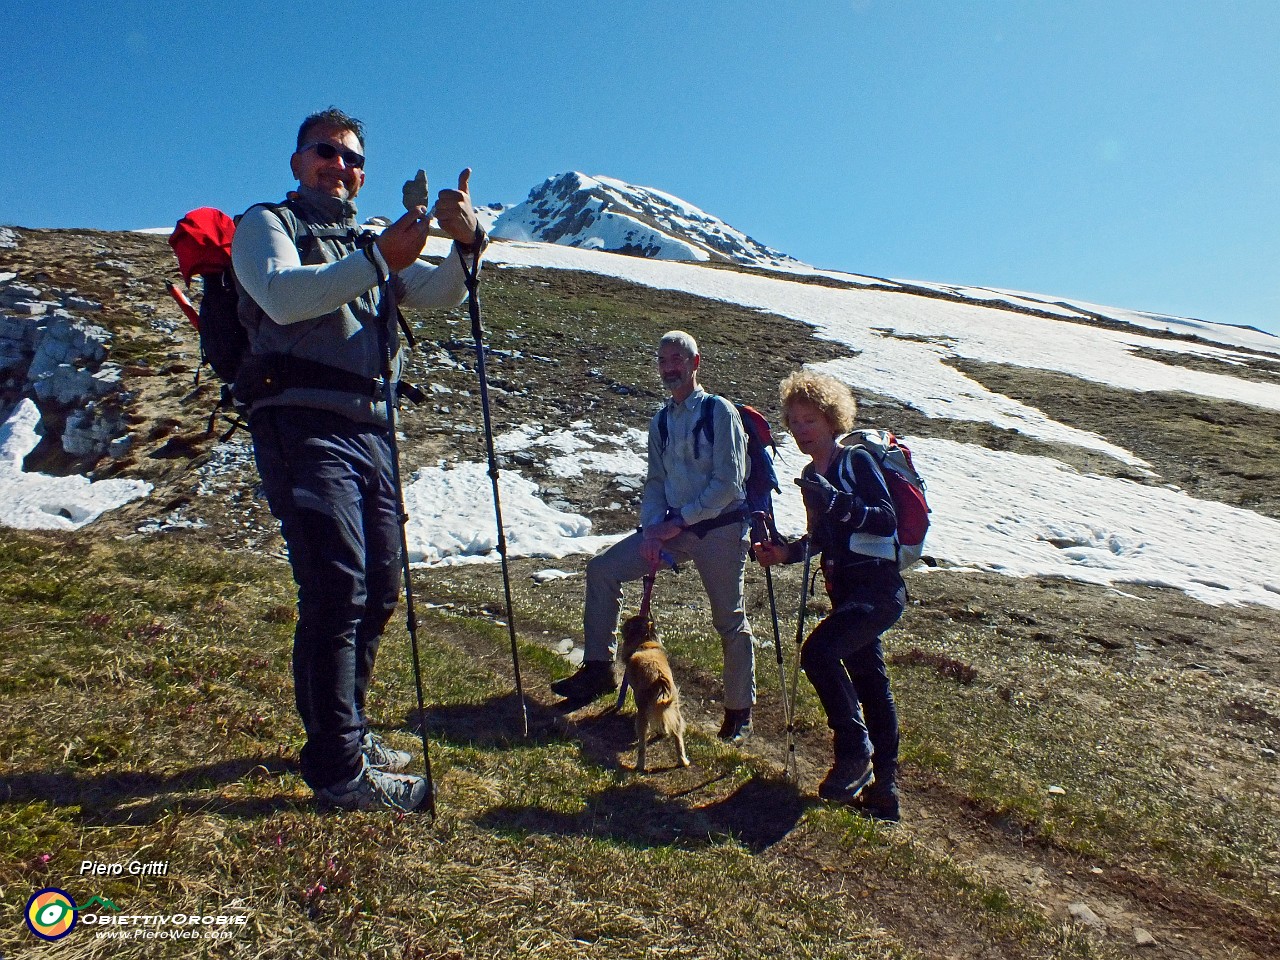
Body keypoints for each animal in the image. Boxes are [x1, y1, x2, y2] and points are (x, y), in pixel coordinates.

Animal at [619, 616, 691, 773]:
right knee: (678, 737)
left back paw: (639, 766)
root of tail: (659, 680)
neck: (645, 641)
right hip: (675, 711)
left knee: (642, 744)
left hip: (642, 713)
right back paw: (682, 761)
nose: (623, 626)